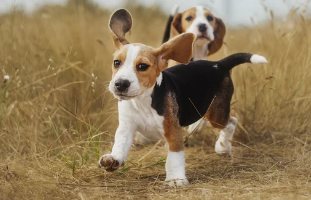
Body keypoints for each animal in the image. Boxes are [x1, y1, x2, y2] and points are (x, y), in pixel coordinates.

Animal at [98, 8, 268, 187]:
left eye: (142, 66)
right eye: (117, 63)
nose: (120, 84)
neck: (142, 101)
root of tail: (219, 64)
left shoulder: (173, 131)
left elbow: (174, 157)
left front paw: (176, 179)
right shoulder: (126, 126)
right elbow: (120, 143)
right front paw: (114, 159)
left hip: (216, 114)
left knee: (231, 122)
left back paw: (223, 147)